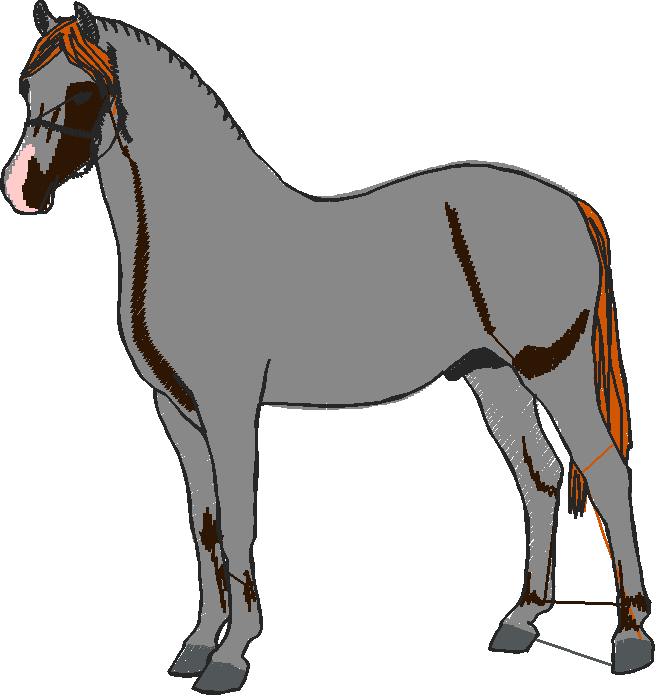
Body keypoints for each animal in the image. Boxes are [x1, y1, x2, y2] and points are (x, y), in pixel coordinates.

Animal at [3, 2, 652, 691]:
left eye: (83, 91)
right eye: (26, 84)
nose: (21, 189)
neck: (204, 228)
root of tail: (570, 203)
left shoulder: (229, 407)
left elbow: (238, 523)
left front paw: (231, 657)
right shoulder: (176, 412)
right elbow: (205, 528)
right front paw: (198, 644)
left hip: (554, 368)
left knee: (604, 472)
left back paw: (631, 638)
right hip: (495, 375)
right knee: (542, 478)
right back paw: (520, 623)